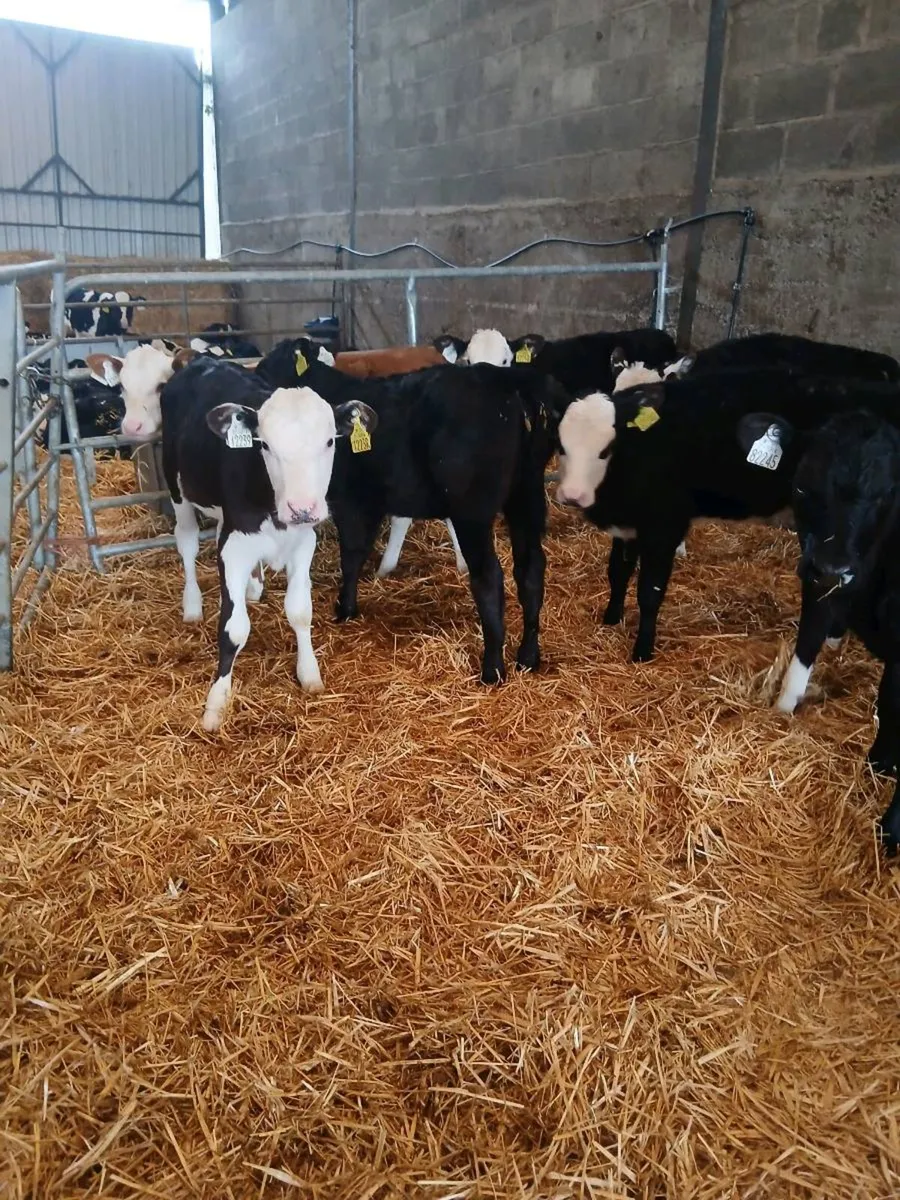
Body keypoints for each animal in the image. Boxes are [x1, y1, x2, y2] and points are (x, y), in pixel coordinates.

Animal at [160, 356, 377, 731]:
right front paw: (216, 702)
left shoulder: (304, 542)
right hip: (178, 488)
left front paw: (309, 673)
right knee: (186, 541)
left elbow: (300, 612)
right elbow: (233, 628)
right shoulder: (233, 550)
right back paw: (192, 605)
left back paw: (253, 586)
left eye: (329, 442)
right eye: (264, 445)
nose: (302, 507)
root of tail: (203, 360)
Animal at [255, 337, 568, 684]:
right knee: (531, 569)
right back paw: (528, 656)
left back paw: (492, 668)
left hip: (473, 510)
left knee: (489, 577)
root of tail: (510, 382)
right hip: (527, 494)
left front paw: (344, 608)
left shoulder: (349, 499)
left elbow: (350, 554)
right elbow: (359, 551)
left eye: (271, 369)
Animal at [554, 369, 900, 663]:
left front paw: (642, 651)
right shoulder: (631, 524)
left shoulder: (665, 526)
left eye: (606, 449)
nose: (572, 495)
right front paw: (611, 619)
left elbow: (649, 592)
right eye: (560, 445)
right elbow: (618, 572)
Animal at [778, 410, 900, 851]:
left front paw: (891, 829)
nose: (833, 569)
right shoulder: (815, 577)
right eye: (801, 485)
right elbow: (806, 643)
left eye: (887, 494)